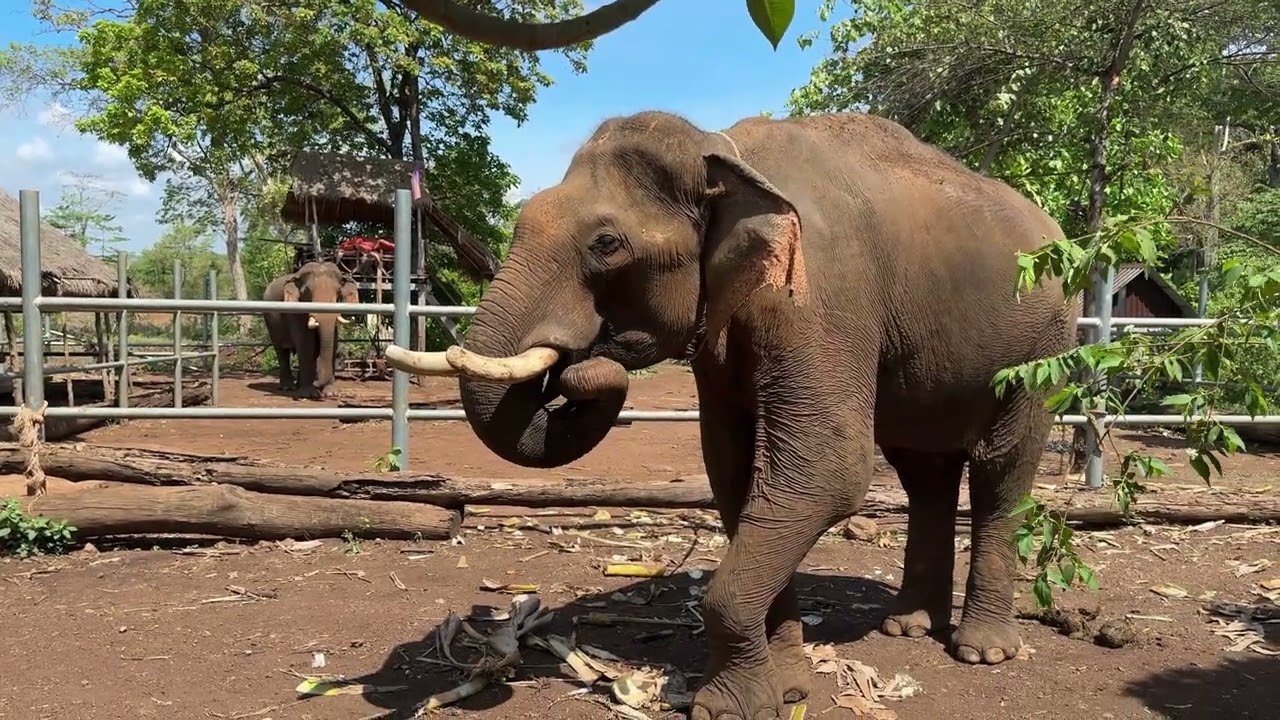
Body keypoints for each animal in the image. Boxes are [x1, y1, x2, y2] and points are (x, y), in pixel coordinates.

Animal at [262, 261, 359, 398]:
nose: (319, 384)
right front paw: (309, 394)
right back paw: (288, 388)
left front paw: (331, 393)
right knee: (281, 351)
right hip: (271, 322)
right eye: (307, 291)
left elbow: (333, 341)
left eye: (339, 291)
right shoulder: (294, 311)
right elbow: (305, 341)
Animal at [384, 110, 1076, 719]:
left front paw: (728, 707)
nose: (577, 373)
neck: (721, 148)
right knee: (924, 470)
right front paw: (790, 687)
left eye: (607, 245)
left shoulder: (822, 299)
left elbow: (828, 470)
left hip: (1046, 344)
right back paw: (905, 627)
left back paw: (982, 651)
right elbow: (735, 472)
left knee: (1001, 468)